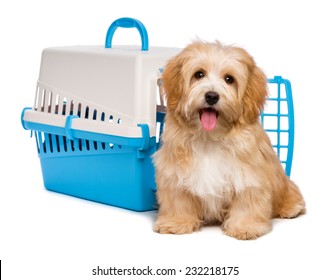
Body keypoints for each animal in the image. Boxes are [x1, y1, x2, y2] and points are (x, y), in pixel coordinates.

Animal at [153, 40, 306, 240]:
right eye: (199, 74)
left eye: (229, 79)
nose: (211, 96)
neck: (209, 138)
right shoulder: (174, 174)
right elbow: (178, 200)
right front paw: (176, 222)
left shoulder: (250, 176)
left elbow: (247, 201)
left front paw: (245, 226)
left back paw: (291, 208)